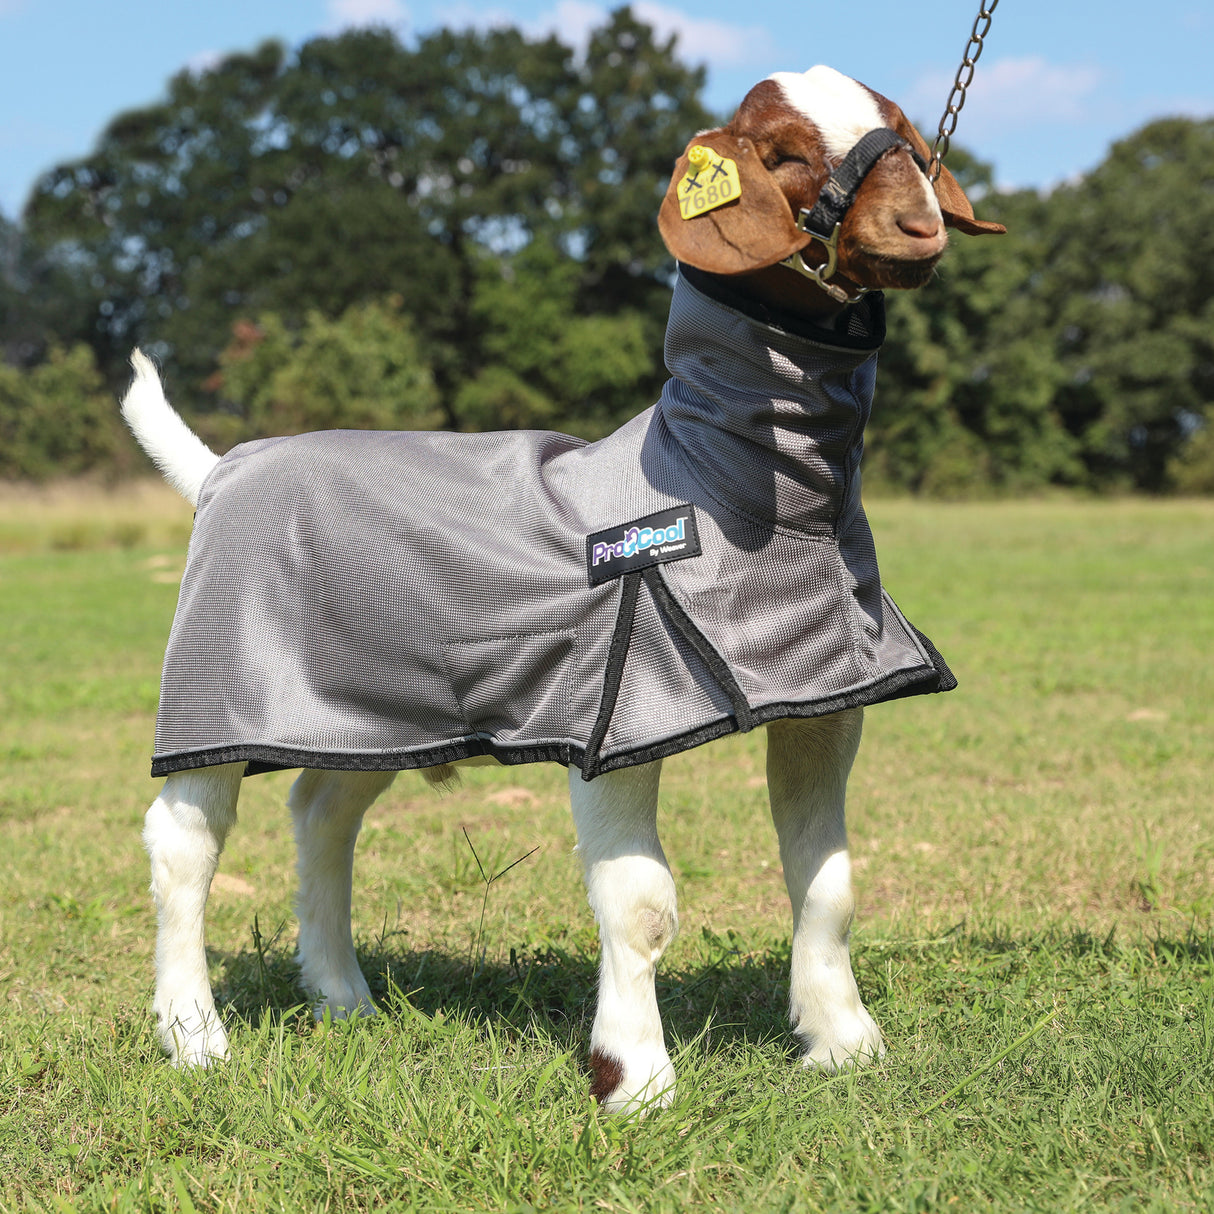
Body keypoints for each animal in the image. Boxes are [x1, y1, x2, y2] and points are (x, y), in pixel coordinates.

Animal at [122, 65, 1003, 1113]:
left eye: (902, 131)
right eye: (785, 152)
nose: (918, 225)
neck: (738, 492)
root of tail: (219, 470)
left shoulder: (821, 696)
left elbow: (827, 884)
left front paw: (842, 1042)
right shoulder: (616, 710)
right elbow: (643, 904)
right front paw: (635, 1079)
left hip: (367, 704)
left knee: (323, 812)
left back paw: (341, 996)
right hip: (218, 691)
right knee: (184, 845)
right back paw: (194, 1037)